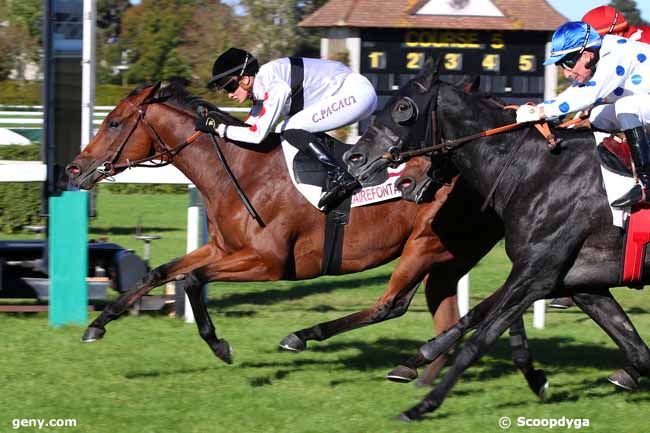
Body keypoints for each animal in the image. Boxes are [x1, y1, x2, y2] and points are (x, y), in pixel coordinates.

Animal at [64, 80, 548, 392]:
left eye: (114, 123)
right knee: (456, 312)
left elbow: (191, 280)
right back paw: (425, 375)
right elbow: (161, 271)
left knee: (391, 304)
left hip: (427, 246)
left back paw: (306, 336)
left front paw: (220, 345)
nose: (74, 168)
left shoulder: (269, 263)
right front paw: (96, 325)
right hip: (451, 258)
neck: (241, 169)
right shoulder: (222, 248)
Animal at [342, 57, 644, 418]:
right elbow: (638, 350)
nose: (354, 158)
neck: (538, 171)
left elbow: (478, 339)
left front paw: (423, 404)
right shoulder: (581, 283)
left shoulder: (536, 275)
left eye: (403, 106)